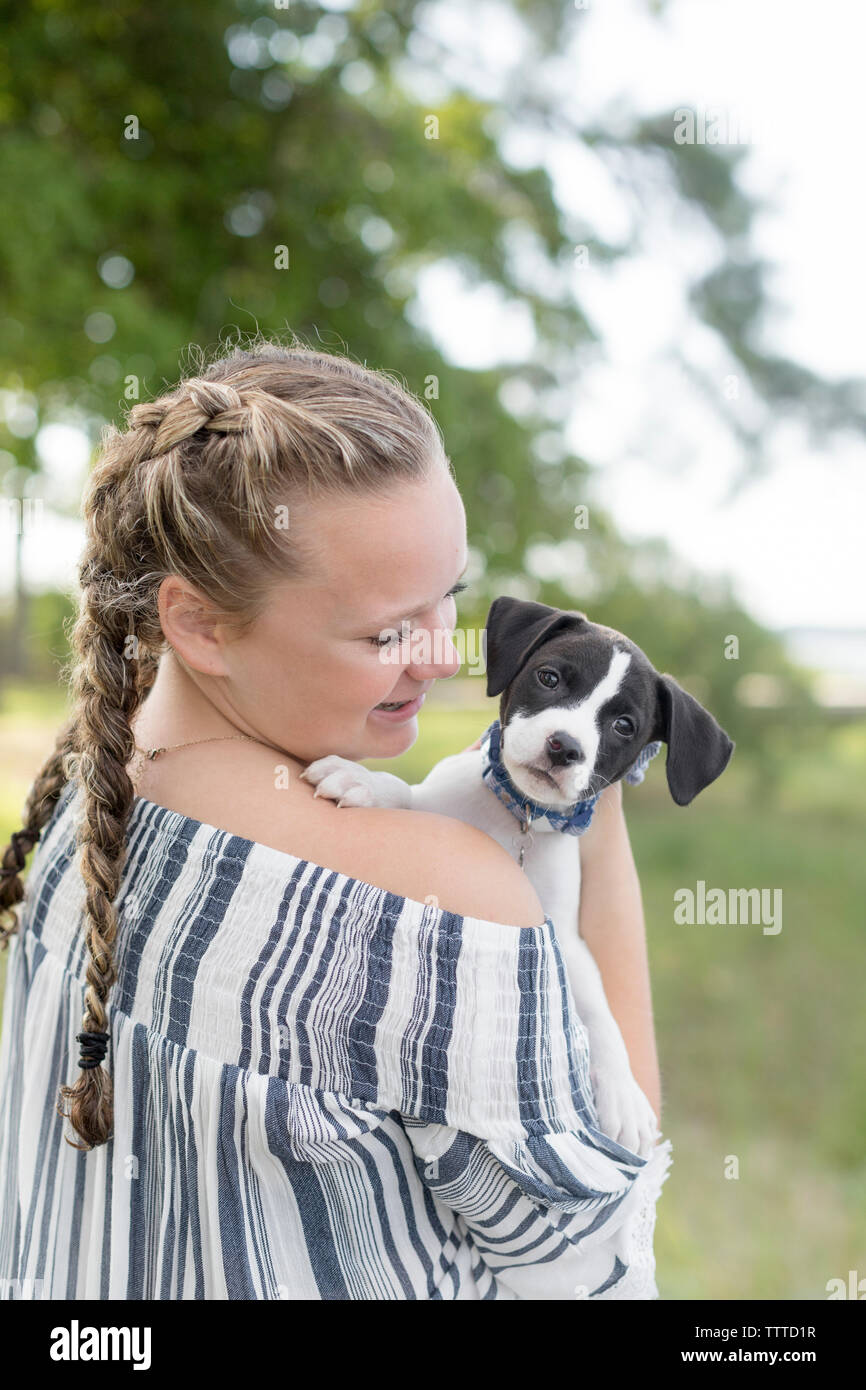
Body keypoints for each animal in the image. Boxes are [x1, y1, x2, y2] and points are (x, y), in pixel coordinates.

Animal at [301, 592, 733, 1156]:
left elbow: (600, 1012)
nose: (564, 746)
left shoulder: (562, 937)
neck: (518, 818)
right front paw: (364, 779)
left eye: (624, 726)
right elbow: (408, 794)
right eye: (549, 678)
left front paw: (624, 1094)